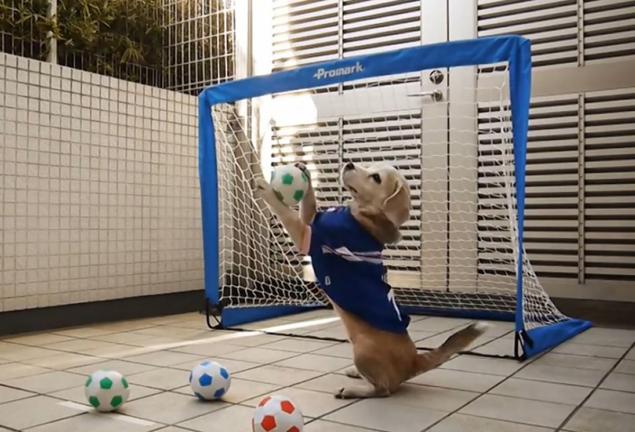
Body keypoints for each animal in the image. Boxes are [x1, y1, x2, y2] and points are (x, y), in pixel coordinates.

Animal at [256, 161, 490, 398]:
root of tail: (414, 361)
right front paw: (305, 171)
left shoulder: (306, 235)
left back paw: (352, 389)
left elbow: (285, 212)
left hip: (363, 350)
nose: (349, 164)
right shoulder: (310, 222)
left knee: (383, 389)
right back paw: (355, 374)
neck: (365, 216)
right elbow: (309, 204)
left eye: (376, 178)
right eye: (369, 167)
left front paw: (266, 189)